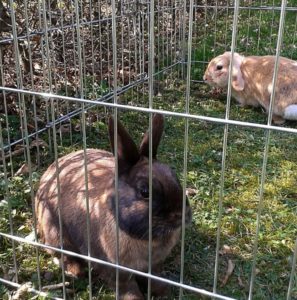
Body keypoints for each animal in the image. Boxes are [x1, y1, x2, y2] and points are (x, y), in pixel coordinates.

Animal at [35, 113, 192, 298]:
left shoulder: (154, 265)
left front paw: (162, 290)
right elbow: (126, 286)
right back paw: (75, 271)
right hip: (55, 231)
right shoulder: (113, 268)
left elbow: (155, 277)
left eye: (175, 176)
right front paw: (135, 298)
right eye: (145, 192)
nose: (182, 215)